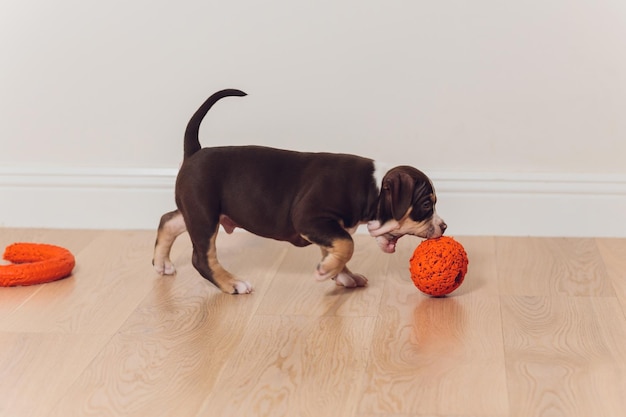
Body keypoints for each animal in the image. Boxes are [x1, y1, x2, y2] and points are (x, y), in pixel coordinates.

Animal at [151, 90, 444, 294]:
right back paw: (232, 284)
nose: (444, 226)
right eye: (426, 206)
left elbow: (337, 246)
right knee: (202, 258)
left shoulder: (327, 228)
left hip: (196, 211)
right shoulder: (310, 218)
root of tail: (195, 152)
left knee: (169, 220)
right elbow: (347, 244)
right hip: (204, 215)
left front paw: (342, 274)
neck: (371, 187)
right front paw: (327, 271)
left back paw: (162, 263)